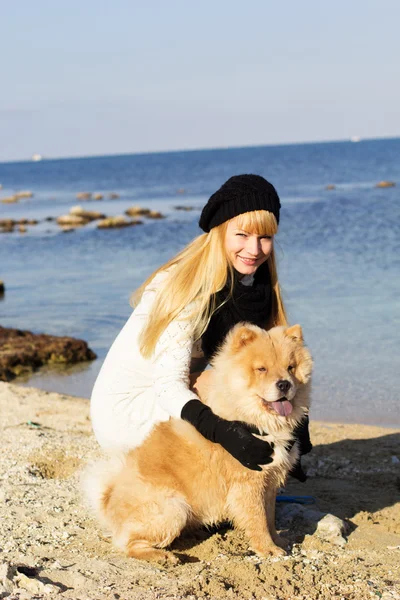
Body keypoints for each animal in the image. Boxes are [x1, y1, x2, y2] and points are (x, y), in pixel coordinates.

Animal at [83, 324, 312, 564]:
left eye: (291, 367)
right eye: (261, 369)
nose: (284, 384)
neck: (254, 419)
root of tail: (107, 499)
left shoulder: (270, 481)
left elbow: (270, 516)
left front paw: (278, 541)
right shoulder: (249, 482)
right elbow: (258, 520)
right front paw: (267, 549)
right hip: (174, 508)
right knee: (128, 543)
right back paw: (164, 556)